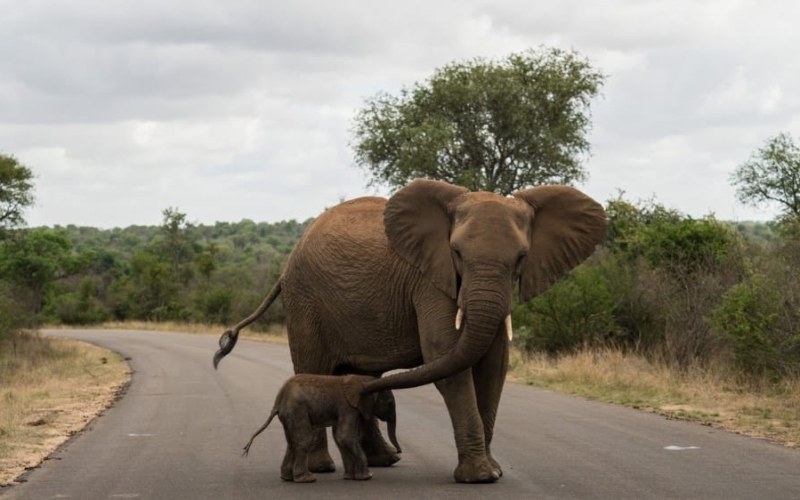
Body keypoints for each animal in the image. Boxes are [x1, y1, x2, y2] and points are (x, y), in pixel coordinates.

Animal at [242, 374, 400, 483]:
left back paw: (287, 478)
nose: (399, 451)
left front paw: (349, 477)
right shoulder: (347, 407)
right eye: (390, 403)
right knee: (304, 439)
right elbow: (345, 436)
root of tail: (278, 399)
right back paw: (307, 479)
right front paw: (367, 477)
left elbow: (339, 438)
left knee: (292, 442)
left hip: (288, 414)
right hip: (297, 409)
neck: (363, 379)